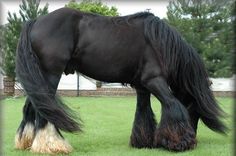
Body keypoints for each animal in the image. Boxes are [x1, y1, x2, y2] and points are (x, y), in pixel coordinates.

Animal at [15, 7, 227, 154]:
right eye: (195, 110)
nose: (194, 138)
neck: (161, 44)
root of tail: (35, 21)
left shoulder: (142, 86)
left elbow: (143, 112)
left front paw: (143, 142)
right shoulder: (154, 81)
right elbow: (173, 105)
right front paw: (179, 142)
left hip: (39, 78)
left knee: (31, 107)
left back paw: (28, 142)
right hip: (50, 75)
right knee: (44, 110)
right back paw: (52, 145)